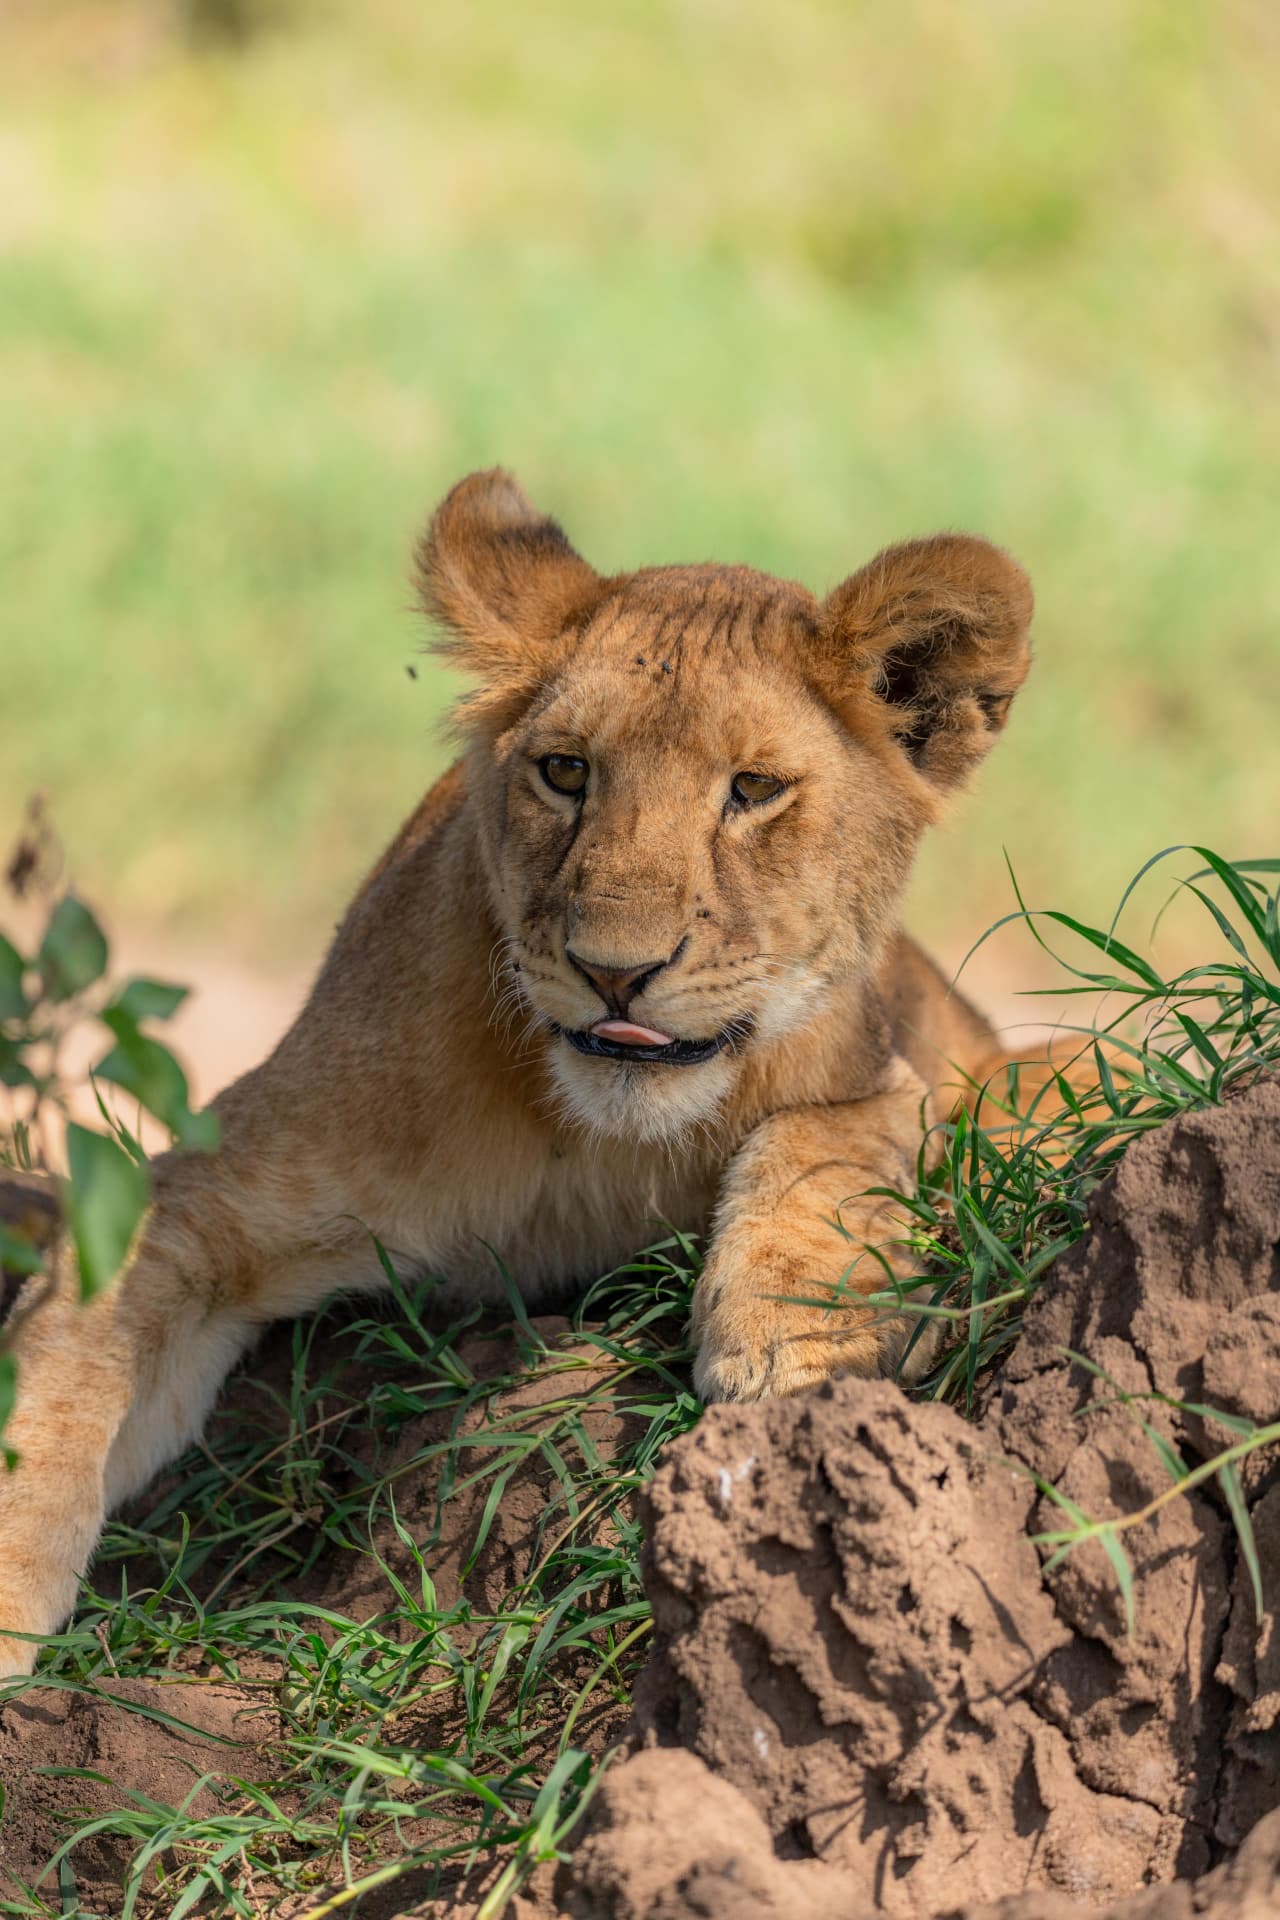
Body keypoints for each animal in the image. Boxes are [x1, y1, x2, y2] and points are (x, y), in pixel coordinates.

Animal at [0, 468, 1036, 1676]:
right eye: (565, 771)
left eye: (753, 789)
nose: (614, 971)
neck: (597, 1143)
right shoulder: (203, 1192)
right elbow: (66, 1372)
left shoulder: (878, 1076)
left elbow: (815, 1145)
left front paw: (799, 1346)